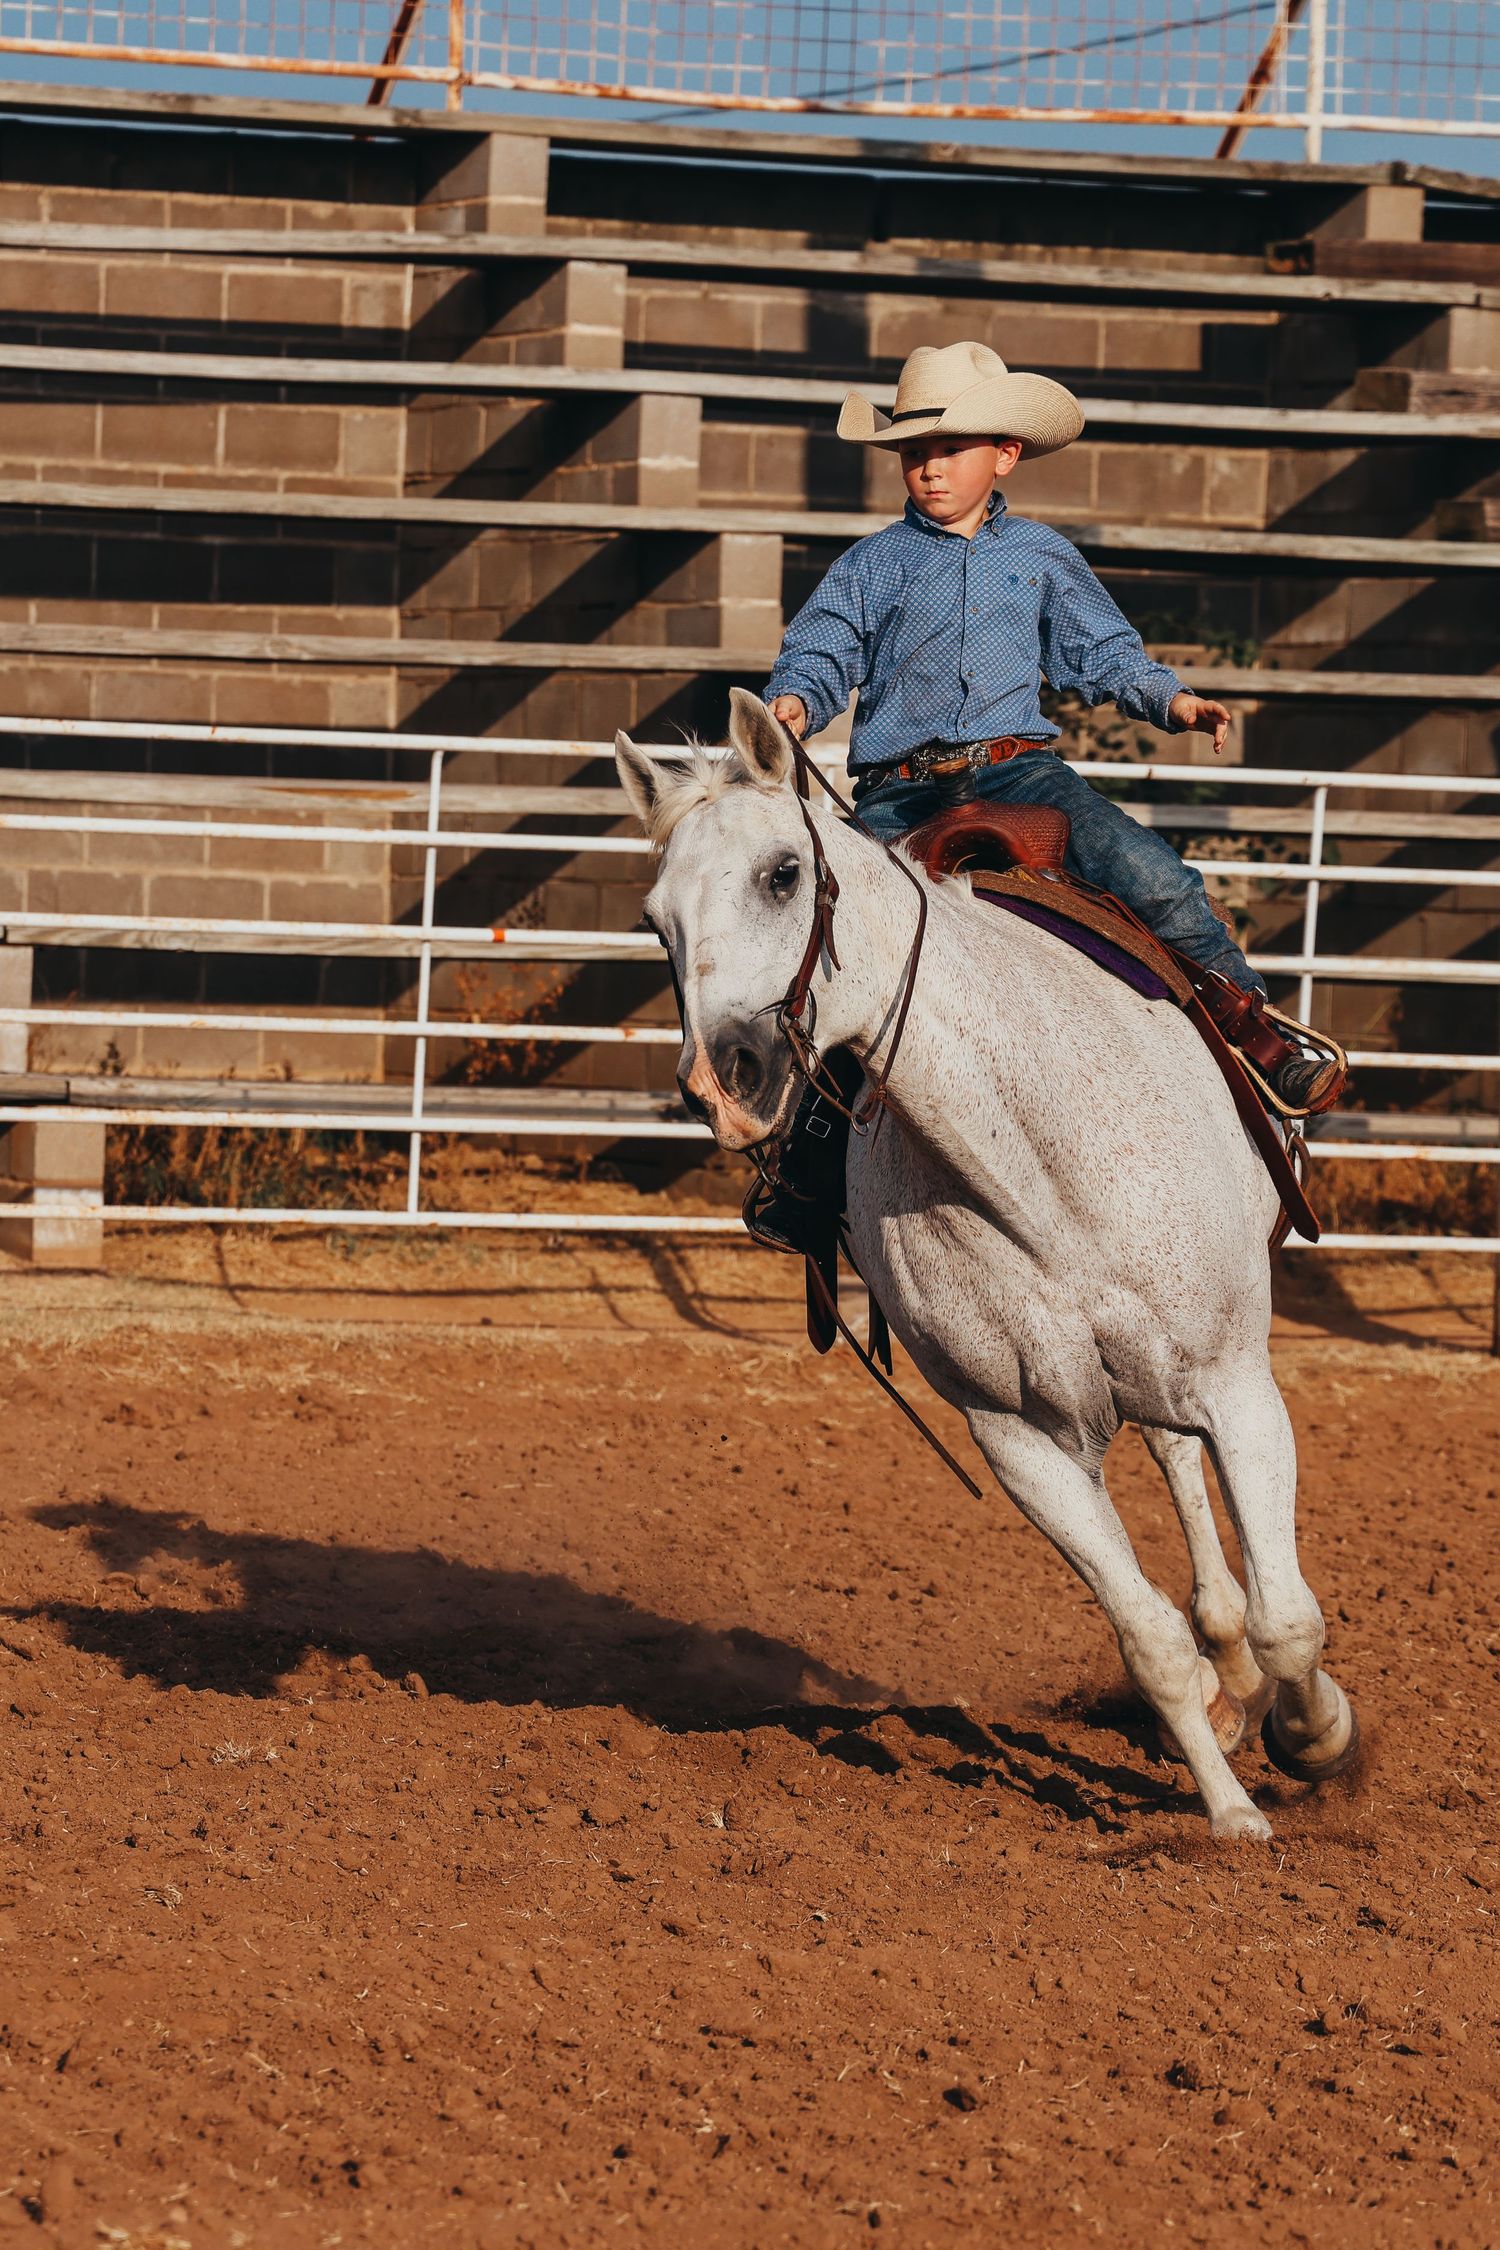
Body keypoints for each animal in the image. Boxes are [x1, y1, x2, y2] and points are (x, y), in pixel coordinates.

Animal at [615, 688, 1358, 1842]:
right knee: (1175, 1479)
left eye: (783, 873)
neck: (1029, 1162)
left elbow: (1292, 1617)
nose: (721, 1080)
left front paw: (1316, 1737)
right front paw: (1229, 1804)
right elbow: (1150, 1642)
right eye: (657, 919)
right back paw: (1228, 1683)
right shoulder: (1018, 1439)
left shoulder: (1239, 1384)